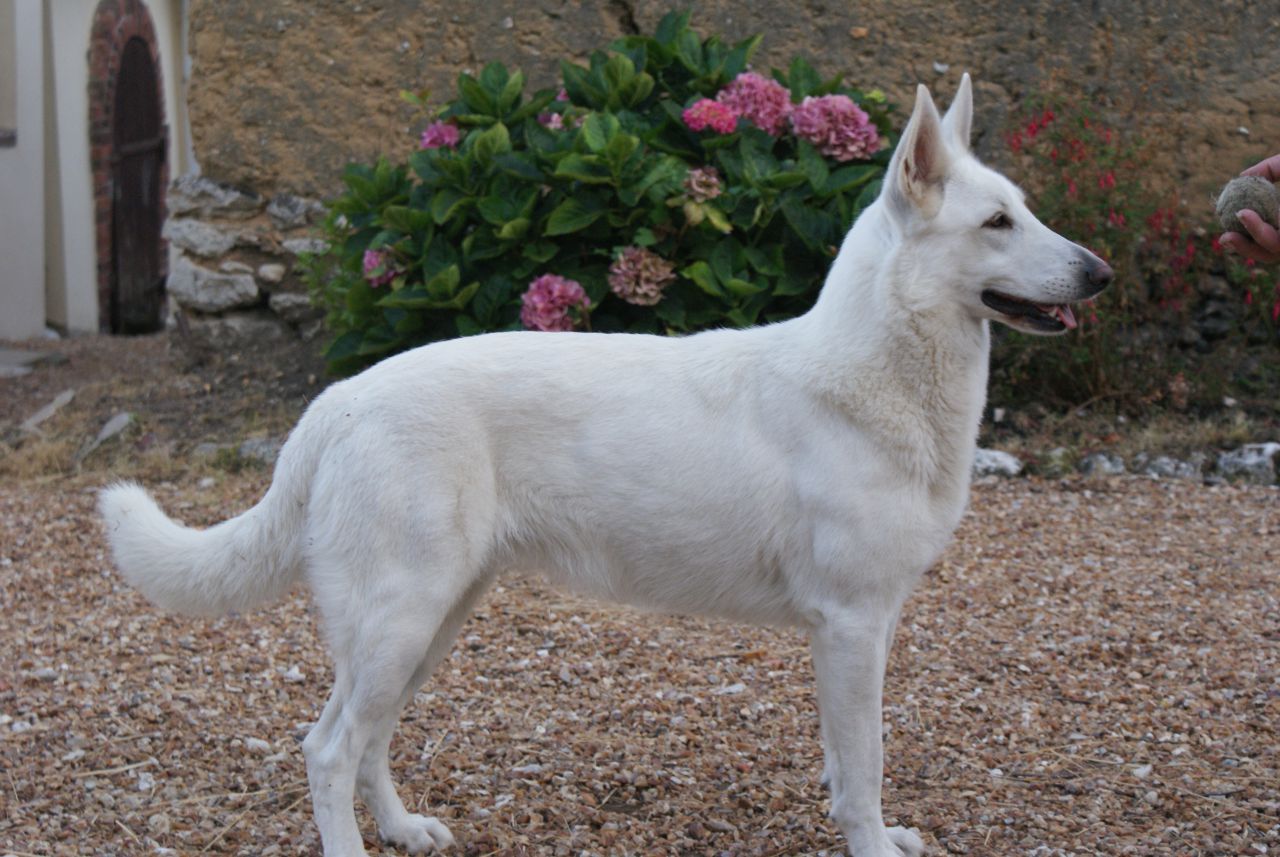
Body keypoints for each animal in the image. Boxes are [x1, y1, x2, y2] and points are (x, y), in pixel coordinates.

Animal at [100, 76, 1111, 856]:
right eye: (997, 222)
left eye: (1024, 210)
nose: (1101, 274)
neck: (875, 369)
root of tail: (337, 402)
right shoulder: (851, 624)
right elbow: (863, 769)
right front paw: (870, 841)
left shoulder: (865, 629)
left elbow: (845, 761)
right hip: (402, 616)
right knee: (327, 747)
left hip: (428, 622)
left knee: (367, 736)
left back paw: (401, 829)